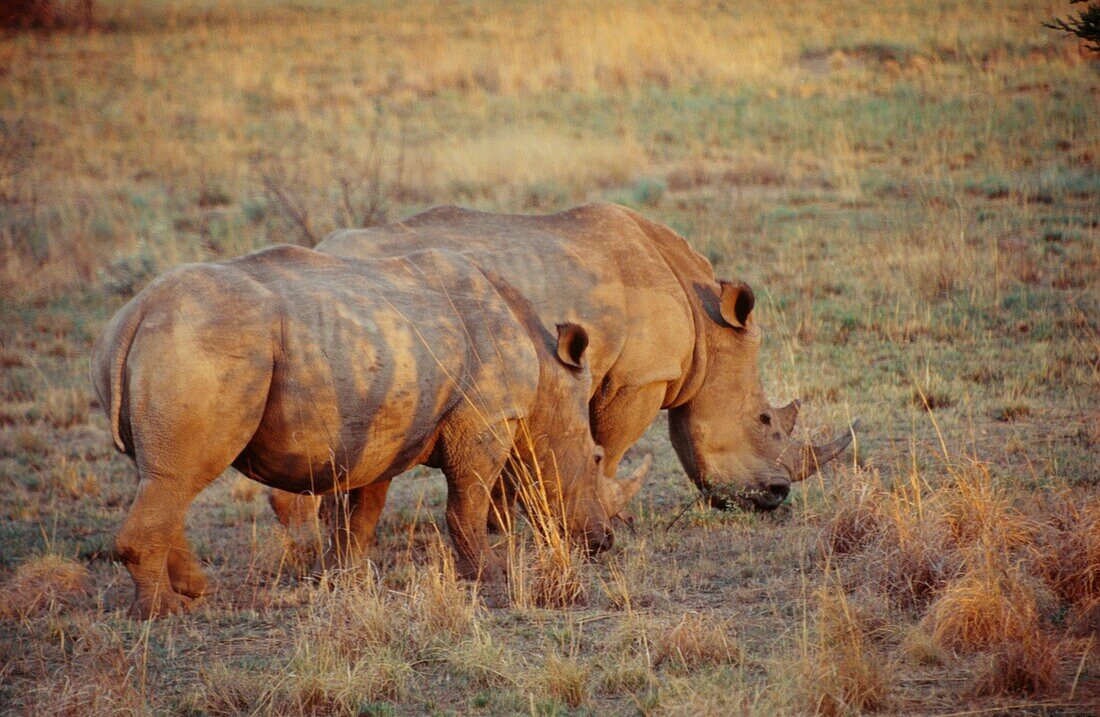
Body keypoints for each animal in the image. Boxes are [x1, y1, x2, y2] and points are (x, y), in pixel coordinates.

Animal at [90, 245, 642, 615]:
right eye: (595, 457)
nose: (604, 541)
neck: (547, 378)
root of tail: (137, 312)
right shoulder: (485, 417)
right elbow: (467, 500)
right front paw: (492, 577)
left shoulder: (388, 425)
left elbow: (363, 510)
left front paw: (346, 578)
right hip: (204, 343)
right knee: (176, 479)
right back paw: (166, 614)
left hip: (172, 342)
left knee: (160, 478)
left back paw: (194, 590)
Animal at [314, 204, 853, 512]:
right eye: (765, 420)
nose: (777, 498)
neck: (708, 329)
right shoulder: (640, 377)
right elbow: (610, 447)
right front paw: (609, 511)